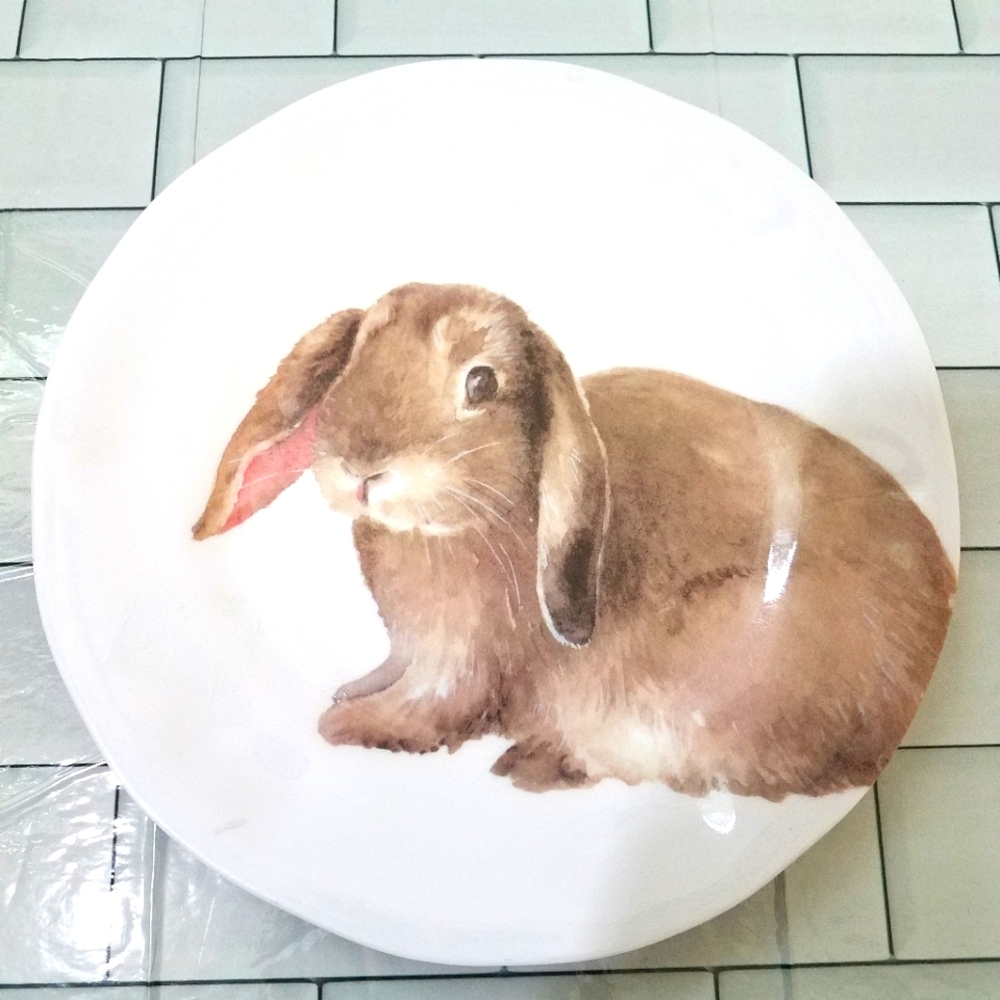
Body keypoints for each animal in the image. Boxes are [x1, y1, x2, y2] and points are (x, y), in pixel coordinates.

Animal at [194, 283, 956, 800]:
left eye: (481, 382)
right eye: (353, 357)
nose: (361, 466)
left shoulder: (465, 660)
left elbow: (431, 705)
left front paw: (347, 725)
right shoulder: (412, 645)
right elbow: (392, 670)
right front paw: (350, 692)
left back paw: (535, 763)